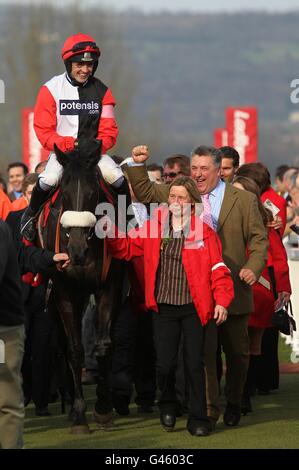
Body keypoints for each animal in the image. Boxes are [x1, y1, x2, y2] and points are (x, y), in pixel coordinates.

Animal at [40, 140, 129, 434]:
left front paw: (102, 410)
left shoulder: (109, 286)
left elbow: (103, 346)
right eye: (64, 194)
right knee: (62, 344)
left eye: (93, 192)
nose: (77, 250)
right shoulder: (64, 290)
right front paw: (79, 415)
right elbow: (75, 349)